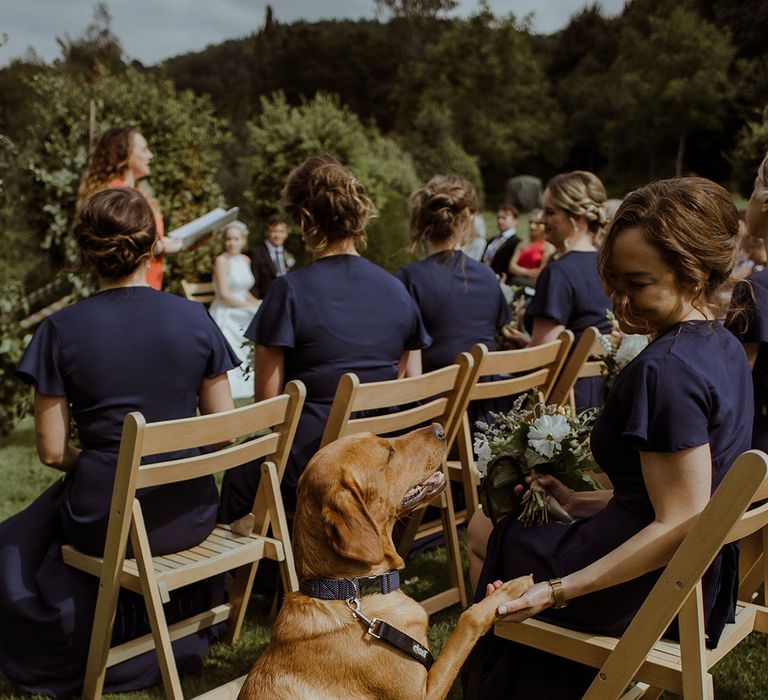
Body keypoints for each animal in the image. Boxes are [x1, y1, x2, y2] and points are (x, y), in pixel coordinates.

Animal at [238, 424, 528, 696]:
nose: (439, 428)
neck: (349, 590)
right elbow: (467, 621)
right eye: (388, 453)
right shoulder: (424, 692)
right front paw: (507, 590)